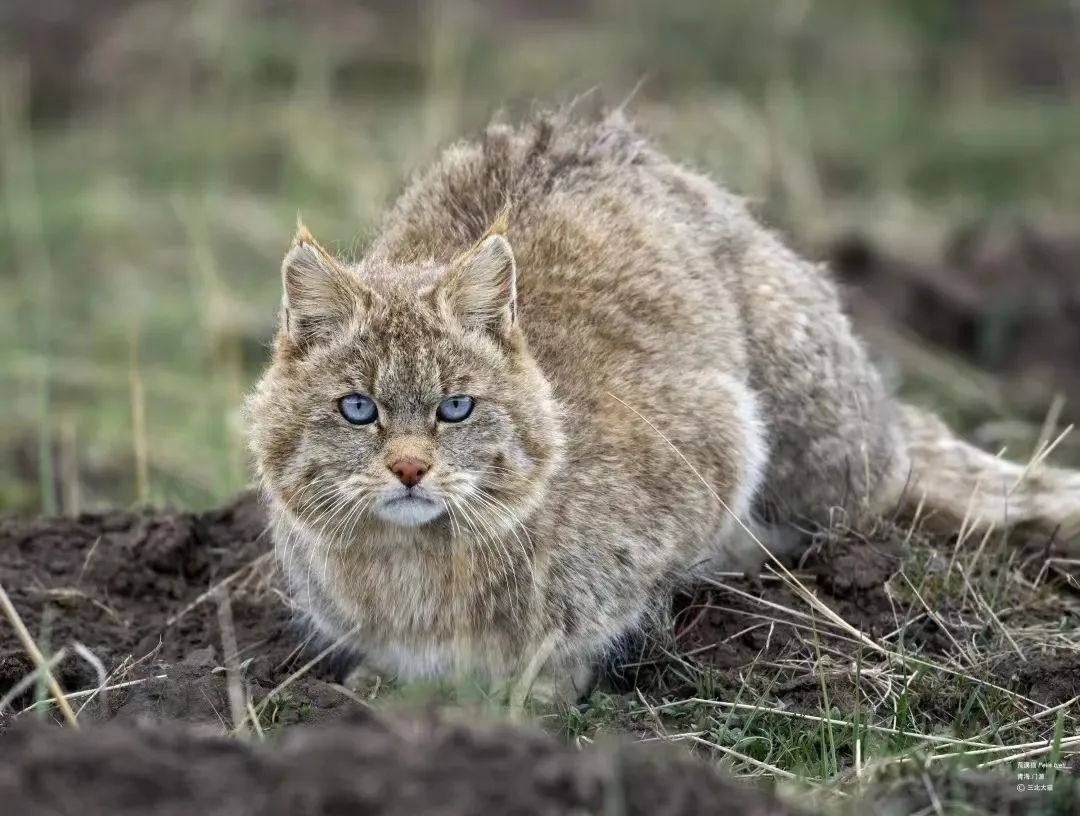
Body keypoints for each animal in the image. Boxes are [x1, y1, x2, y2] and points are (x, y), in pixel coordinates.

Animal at [245, 113, 1080, 699]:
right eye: (358, 409)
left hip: (819, 442)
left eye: (456, 407)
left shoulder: (720, 433)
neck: (414, 561)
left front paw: (543, 685)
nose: (412, 470)